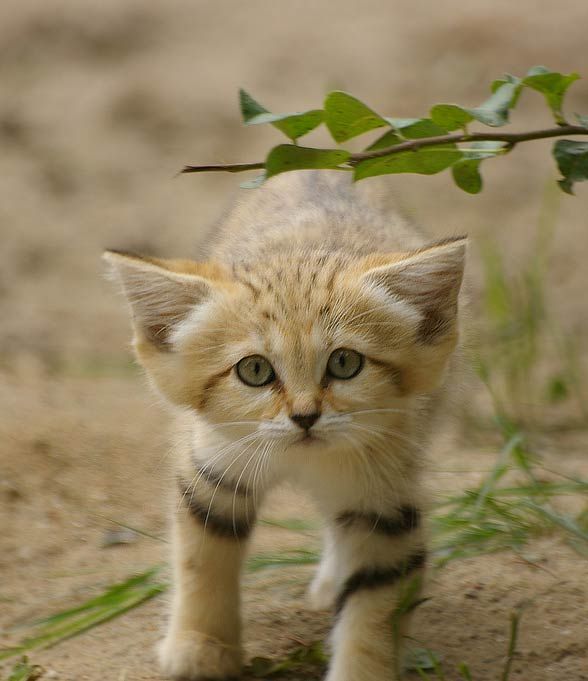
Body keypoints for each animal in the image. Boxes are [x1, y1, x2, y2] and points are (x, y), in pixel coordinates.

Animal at [103, 170, 466, 680]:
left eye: (345, 363)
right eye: (254, 370)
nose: (305, 416)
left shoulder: (387, 503)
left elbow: (374, 604)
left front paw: (361, 669)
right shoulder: (211, 472)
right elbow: (201, 562)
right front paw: (201, 645)